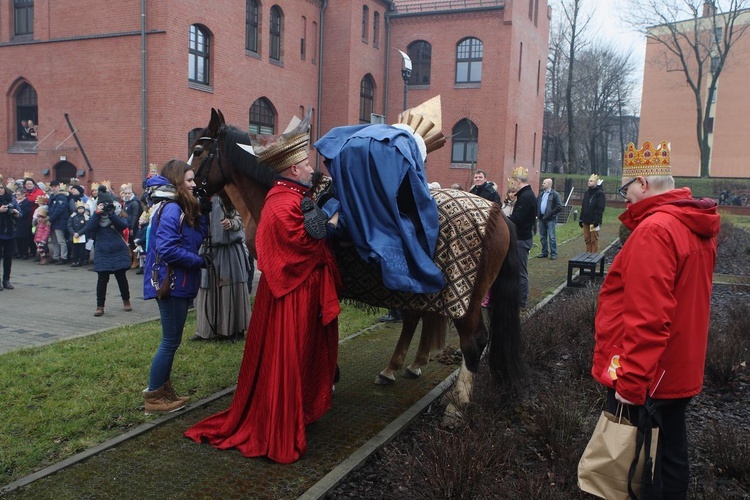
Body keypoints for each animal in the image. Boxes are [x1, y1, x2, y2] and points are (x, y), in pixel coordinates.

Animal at [191, 110, 524, 418]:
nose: (192, 197)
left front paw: (325, 379)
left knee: (474, 341)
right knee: (418, 319)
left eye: (198, 151)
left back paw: (456, 405)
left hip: (464, 299)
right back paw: (399, 368)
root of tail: (498, 214)